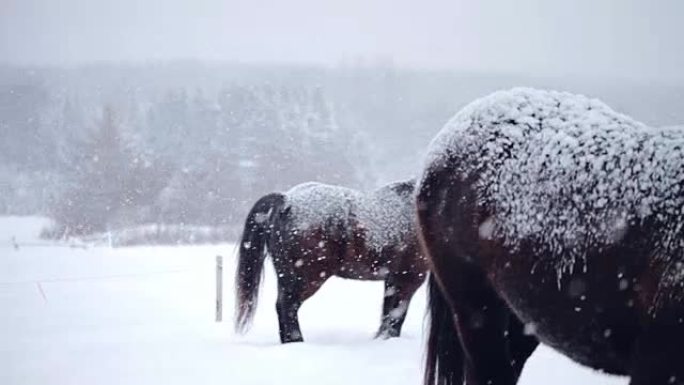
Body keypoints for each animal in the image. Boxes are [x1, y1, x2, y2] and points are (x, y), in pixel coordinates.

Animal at [235, 179, 428, 342]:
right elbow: (396, 315)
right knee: (288, 306)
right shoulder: (409, 278)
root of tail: (287, 200)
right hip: (308, 278)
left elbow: (388, 314)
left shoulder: (393, 280)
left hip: (286, 276)